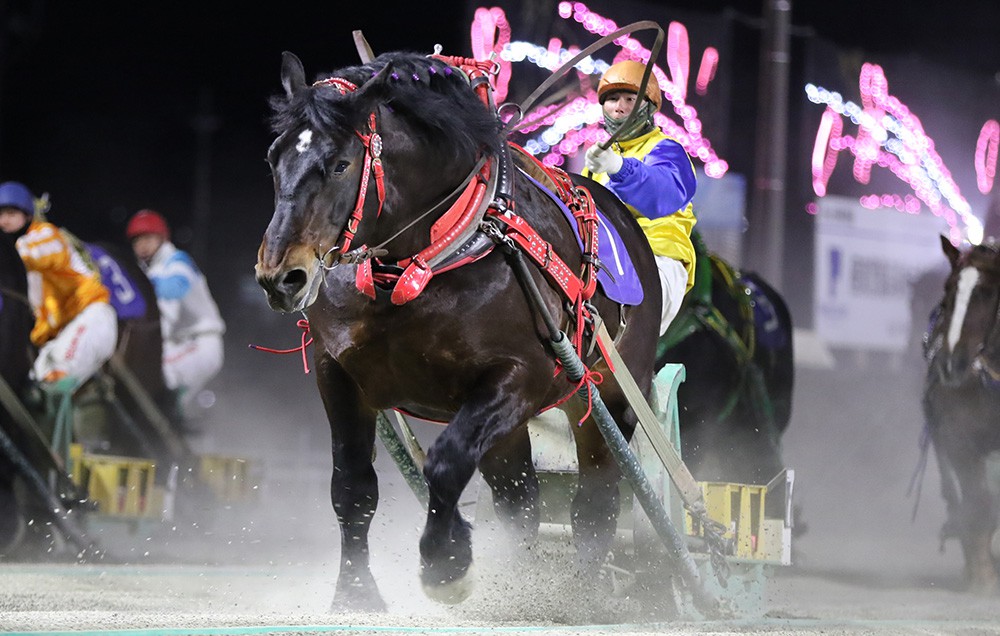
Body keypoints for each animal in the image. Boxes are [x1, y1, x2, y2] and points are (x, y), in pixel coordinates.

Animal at [258, 53, 664, 612]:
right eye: (274, 158)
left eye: (340, 164)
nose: (281, 276)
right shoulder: (336, 371)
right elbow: (353, 487)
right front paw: (355, 595)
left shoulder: (523, 376)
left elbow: (446, 463)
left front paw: (445, 562)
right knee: (520, 499)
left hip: (610, 395)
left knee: (596, 503)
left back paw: (573, 597)